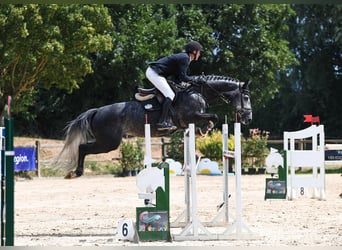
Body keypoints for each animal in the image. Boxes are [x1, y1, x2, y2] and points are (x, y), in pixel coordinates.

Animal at [57, 75, 252, 179]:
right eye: (247, 97)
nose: (248, 118)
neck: (198, 92)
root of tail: (97, 111)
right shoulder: (191, 116)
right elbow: (214, 117)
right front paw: (205, 128)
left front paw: (201, 130)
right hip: (108, 143)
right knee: (83, 148)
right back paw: (76, 173)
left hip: (106, 142)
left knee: (83, 147)